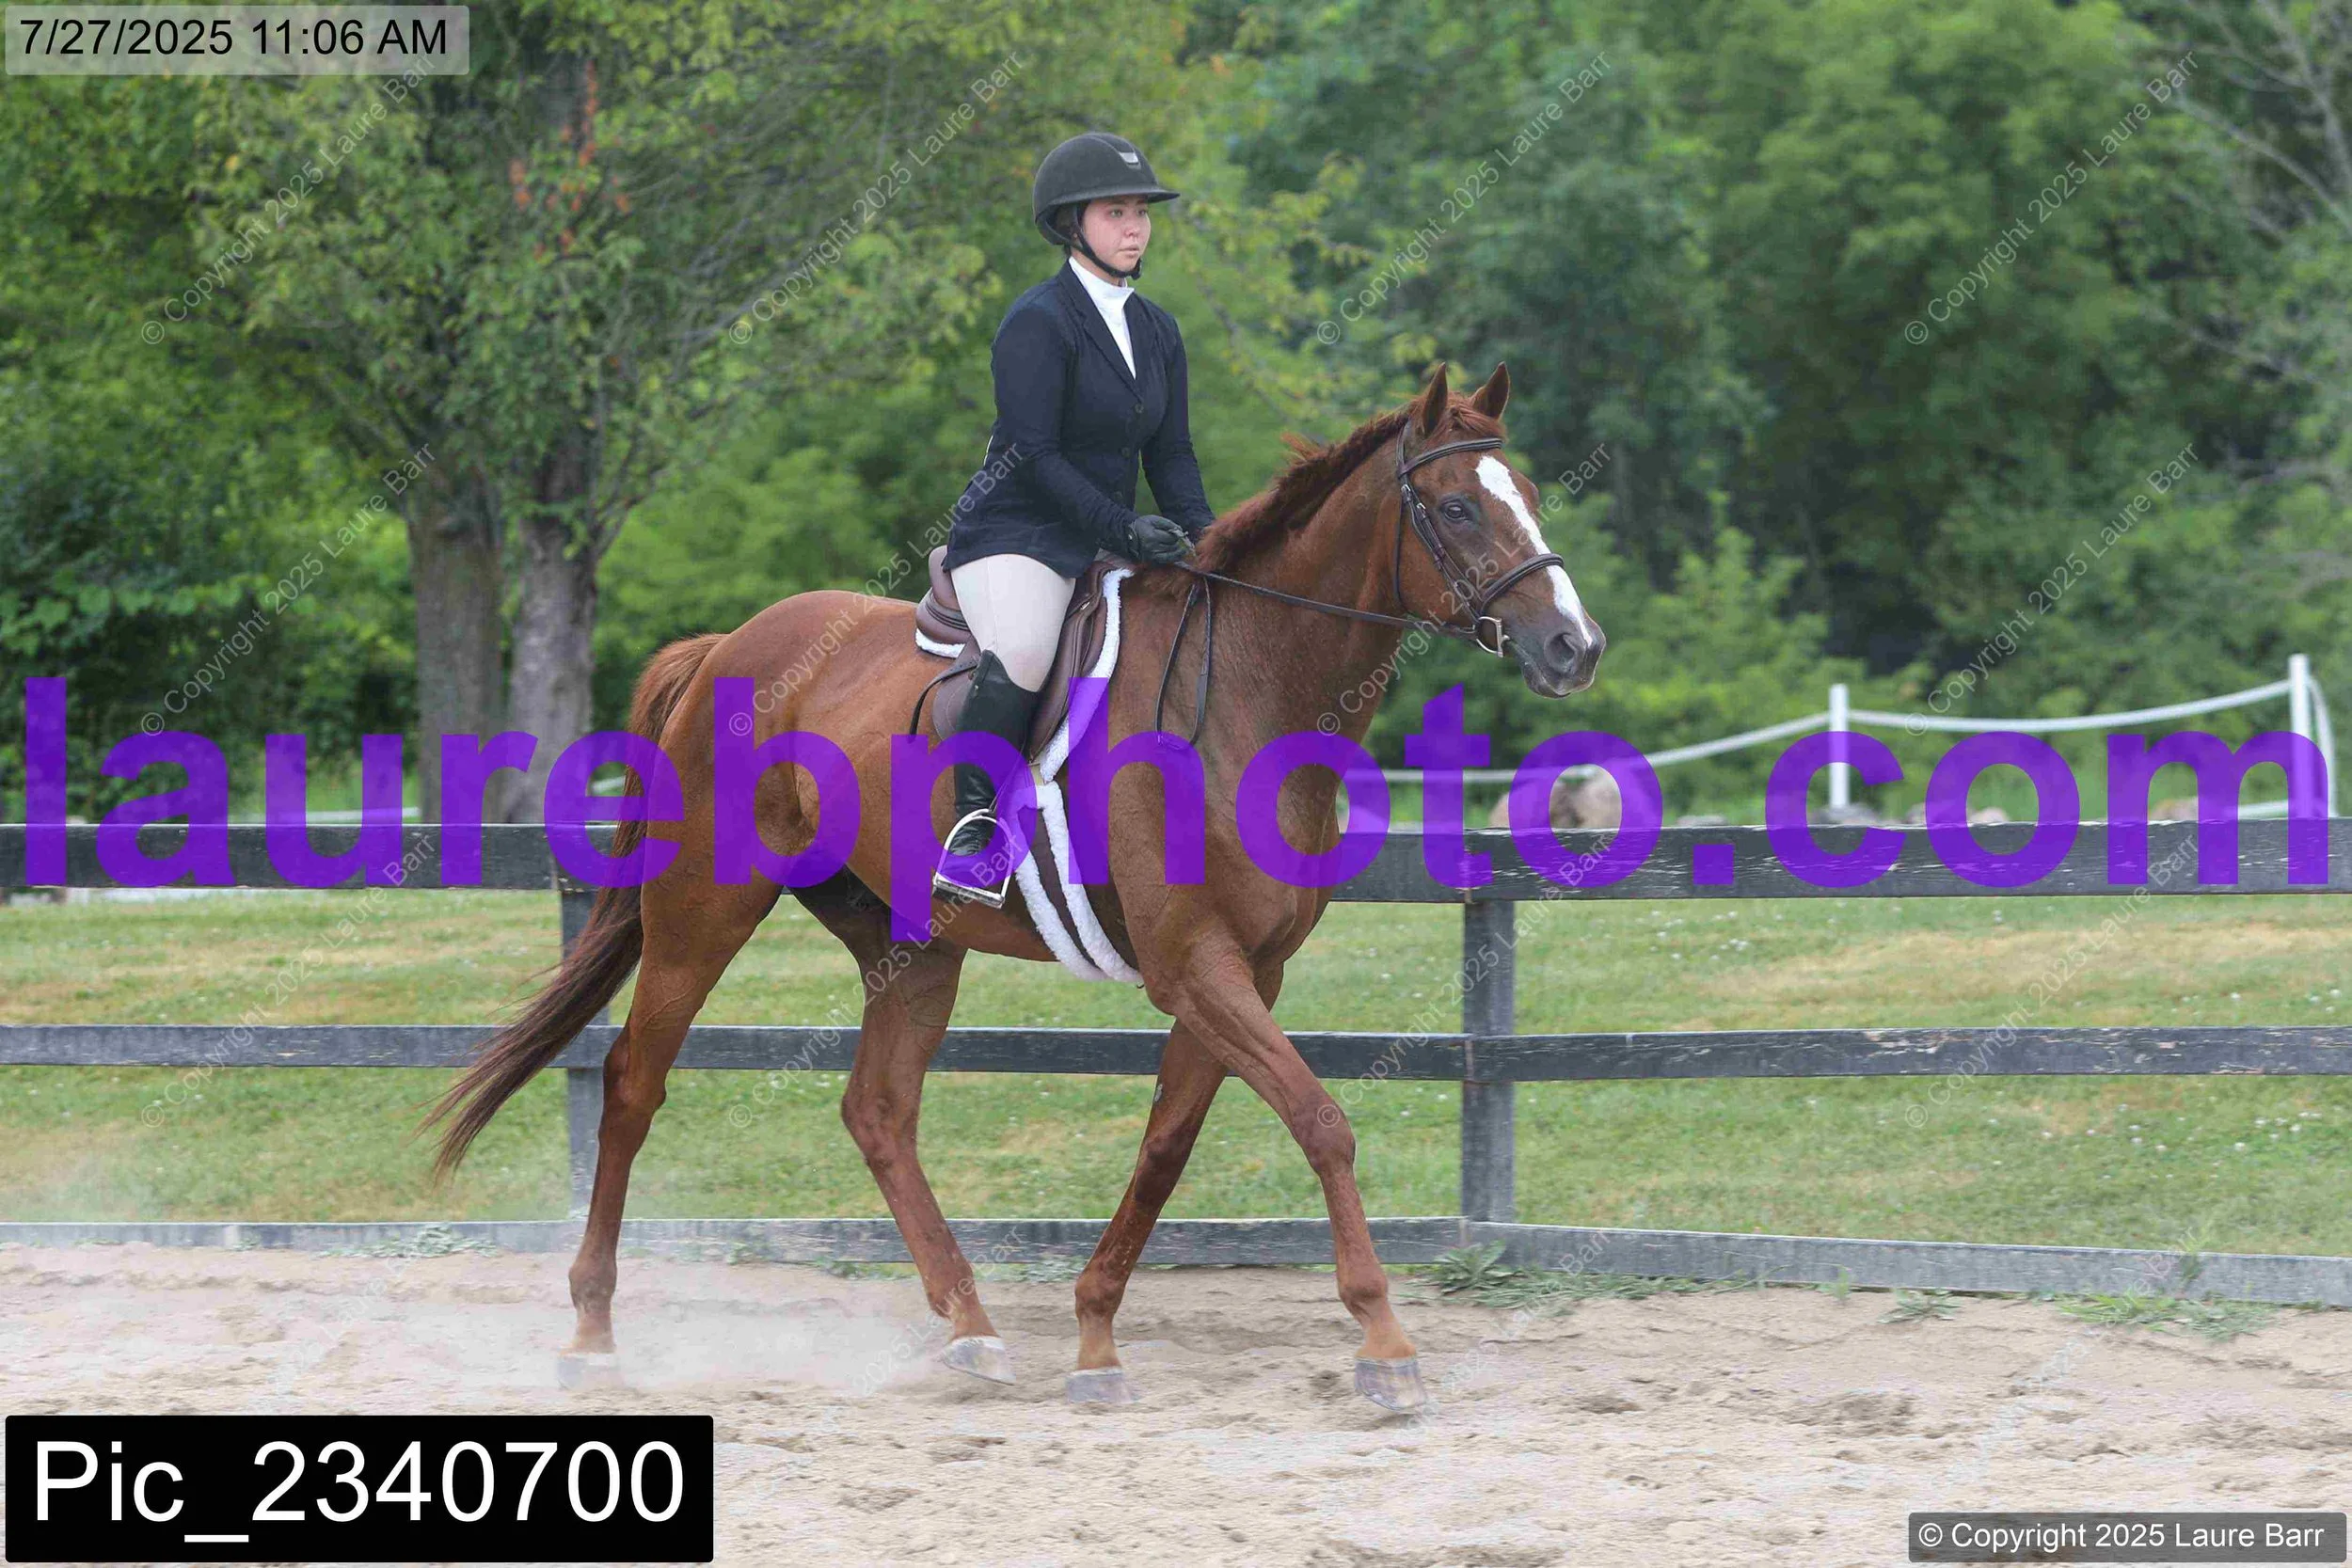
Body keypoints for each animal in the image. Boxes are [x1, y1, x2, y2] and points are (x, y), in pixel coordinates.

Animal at [424, 360, 1605, 1412]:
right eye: (1456, 507)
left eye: (1529, 495)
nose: (1573, 645)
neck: (1254, 690)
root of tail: (729, 643)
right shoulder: (1195, 964)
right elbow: (1321, 1120)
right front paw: (1385, 1341)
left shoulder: (1244, 971)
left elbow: (1167, 1146)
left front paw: (1094, 1338)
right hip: (702, 909)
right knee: (633, 1082)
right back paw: (592, 1331)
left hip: (909, 942)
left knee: (878, 1111)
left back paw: (972, 1330)